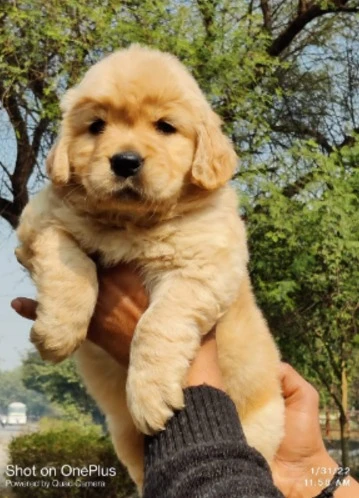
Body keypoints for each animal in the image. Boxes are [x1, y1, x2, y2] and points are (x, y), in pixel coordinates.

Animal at [16, 44, 284, 488]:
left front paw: (149, 394)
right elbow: (69, 263)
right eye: (96, 126)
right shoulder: (38, 221)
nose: (125, 161)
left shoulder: (204, 265)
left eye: (165, 127)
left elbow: (157, 323)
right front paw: (57, 332)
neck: (131, 222)